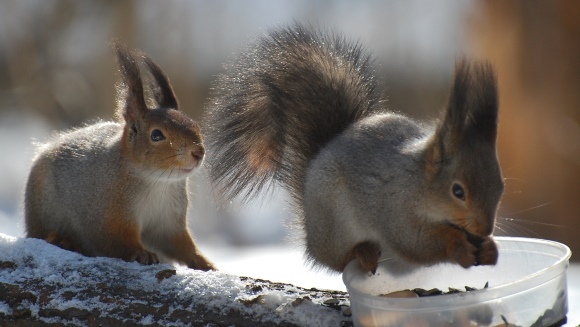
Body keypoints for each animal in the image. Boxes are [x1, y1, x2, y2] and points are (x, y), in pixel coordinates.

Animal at [23, 43, 216, 272]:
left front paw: (204, 262)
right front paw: (142, 253)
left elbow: (180, 245)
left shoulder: (169, 221)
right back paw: (62, 240)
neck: (157, 182)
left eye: (195, 126)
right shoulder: (110, 213)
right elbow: (117, 240)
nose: (198, 152)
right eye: (156, 135)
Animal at [206, 23, 506, 274]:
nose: (485, 229)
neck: (419, 183)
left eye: (501, 187)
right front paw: (459, 247)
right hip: (336, 225)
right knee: (335, 260)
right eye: (458, 191)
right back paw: (360, 252)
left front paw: (490, 248)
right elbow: (416, 244)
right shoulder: (395, 211)